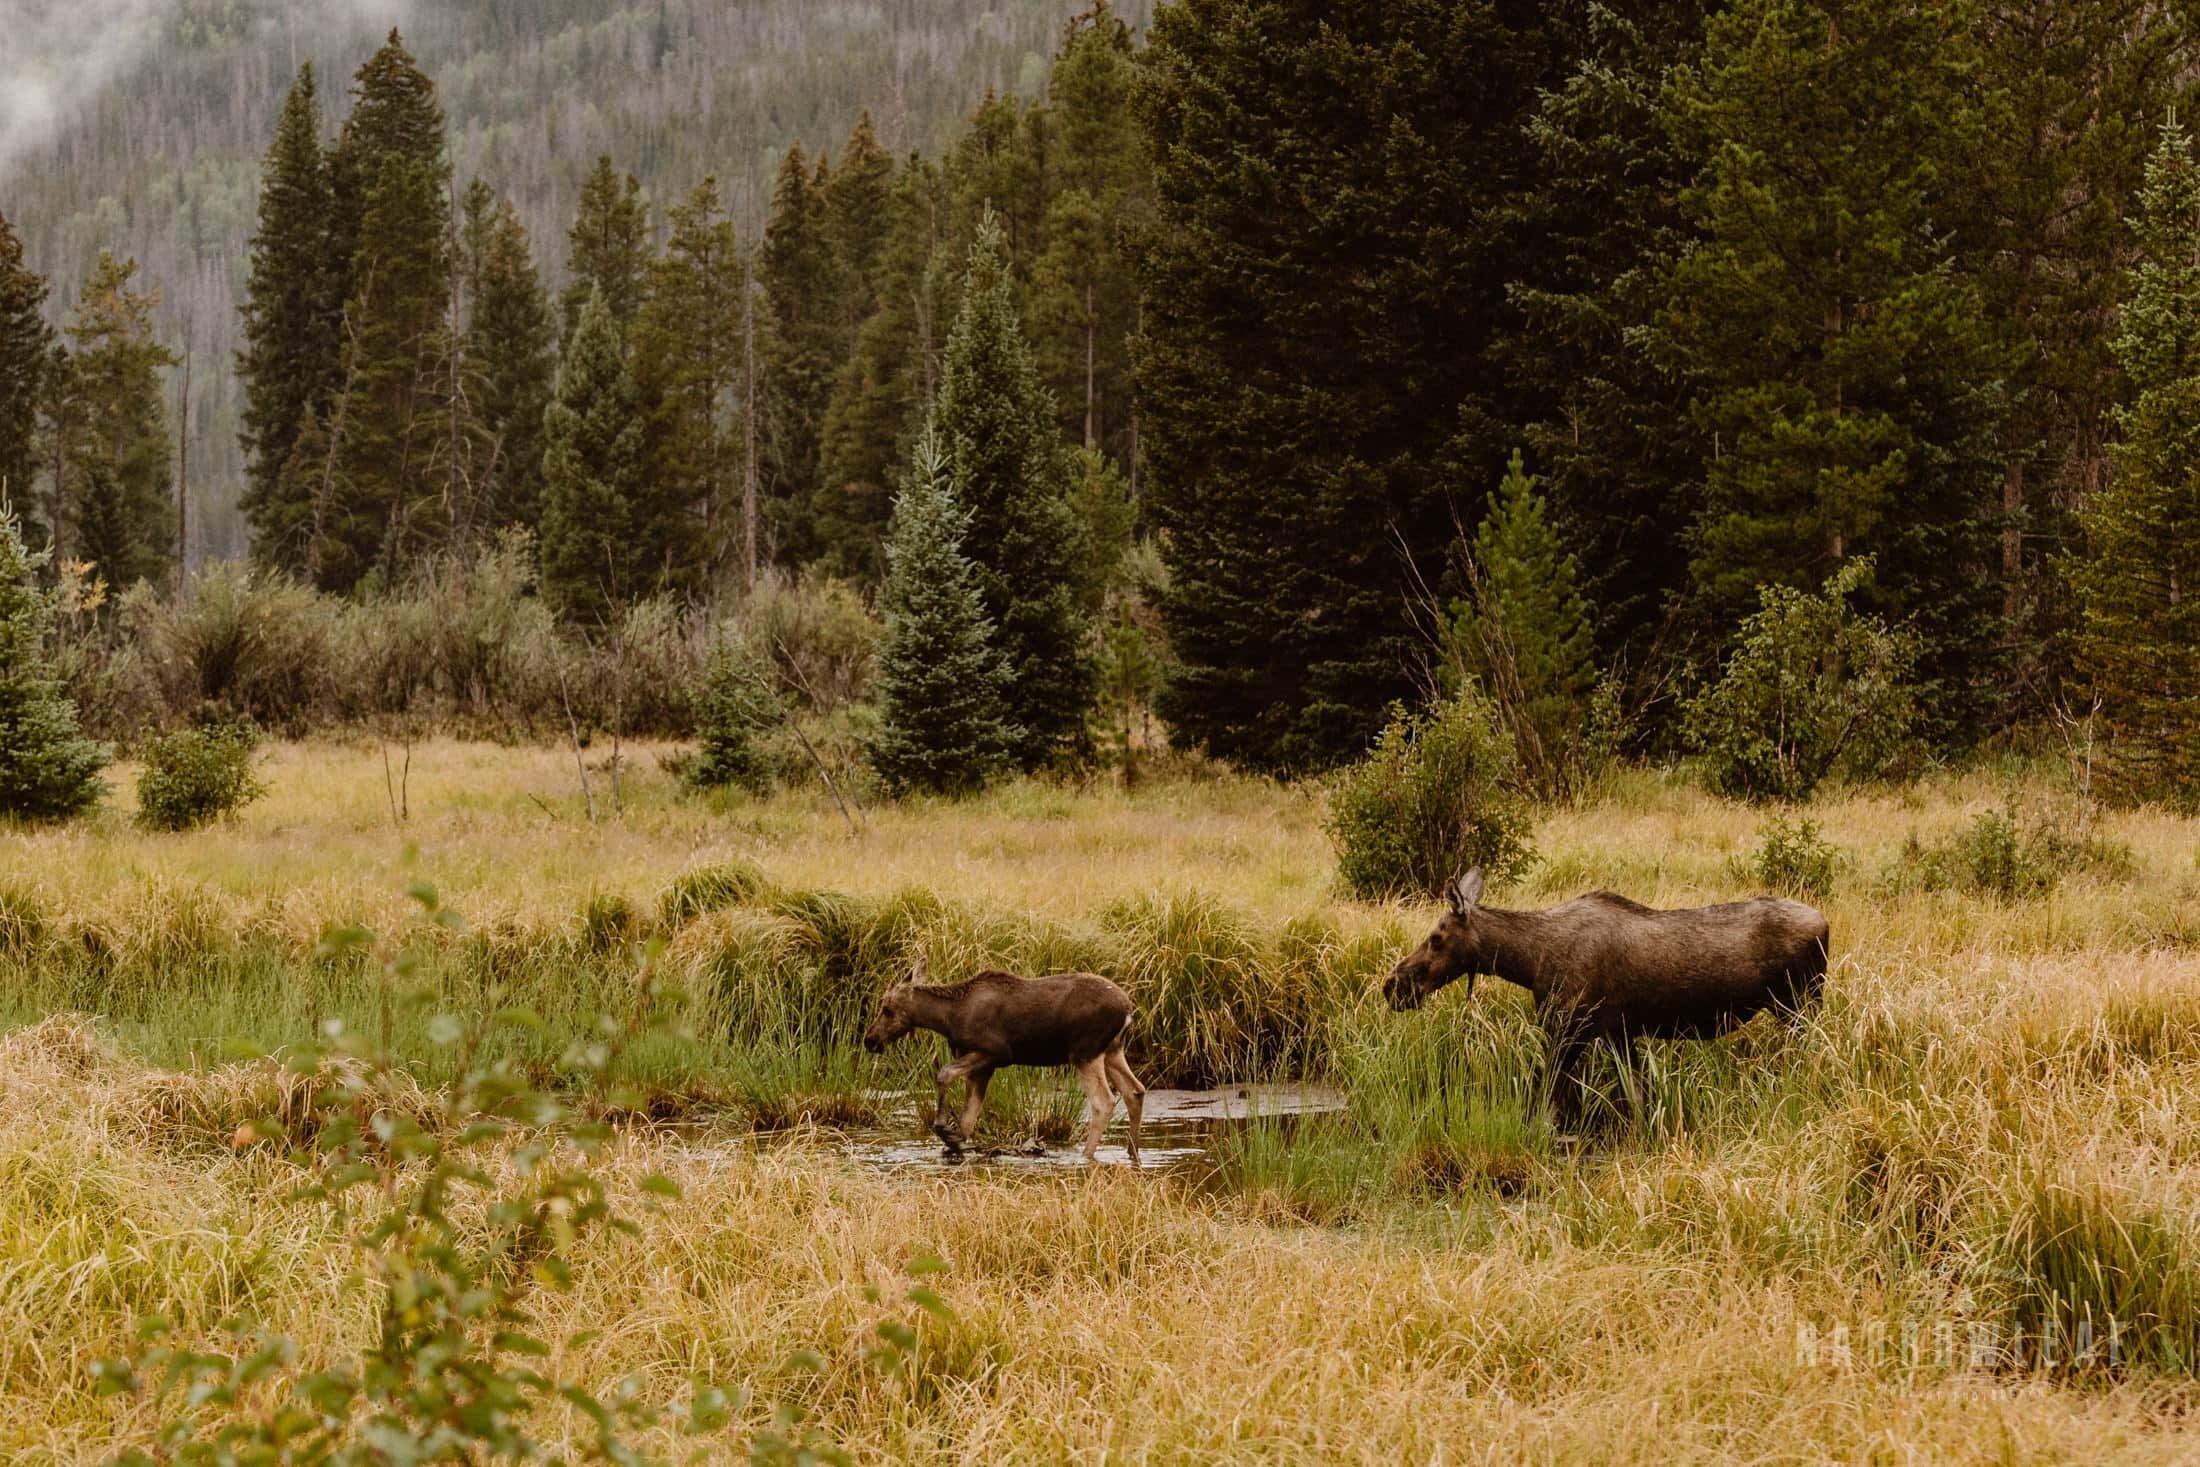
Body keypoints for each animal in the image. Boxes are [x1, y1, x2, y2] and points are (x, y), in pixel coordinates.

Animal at [858, 958, 1144, 1161]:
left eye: (887, 1009)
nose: (870, 1039)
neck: (949, 1019)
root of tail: (1128, 1009)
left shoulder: (995, 1053)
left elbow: (944, 1074)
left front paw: (943, 1128)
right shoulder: (982, 1067)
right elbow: (967, 1119)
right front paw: (953, 1143)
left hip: (1085, 1051)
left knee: (1104, 1101)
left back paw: (1086, 1156)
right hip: (1112, 1050)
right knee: (1135, 1091)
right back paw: (1132, 1152)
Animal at [1381, 866, 1830, 1134]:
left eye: (1436, 937)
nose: (1392, 985)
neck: (1527, 962)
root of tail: (1826, 925)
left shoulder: (1570, 1030)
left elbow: (1545, 1098)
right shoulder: (1618, 1033)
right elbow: (1637, 1098)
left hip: (1798, 1006)